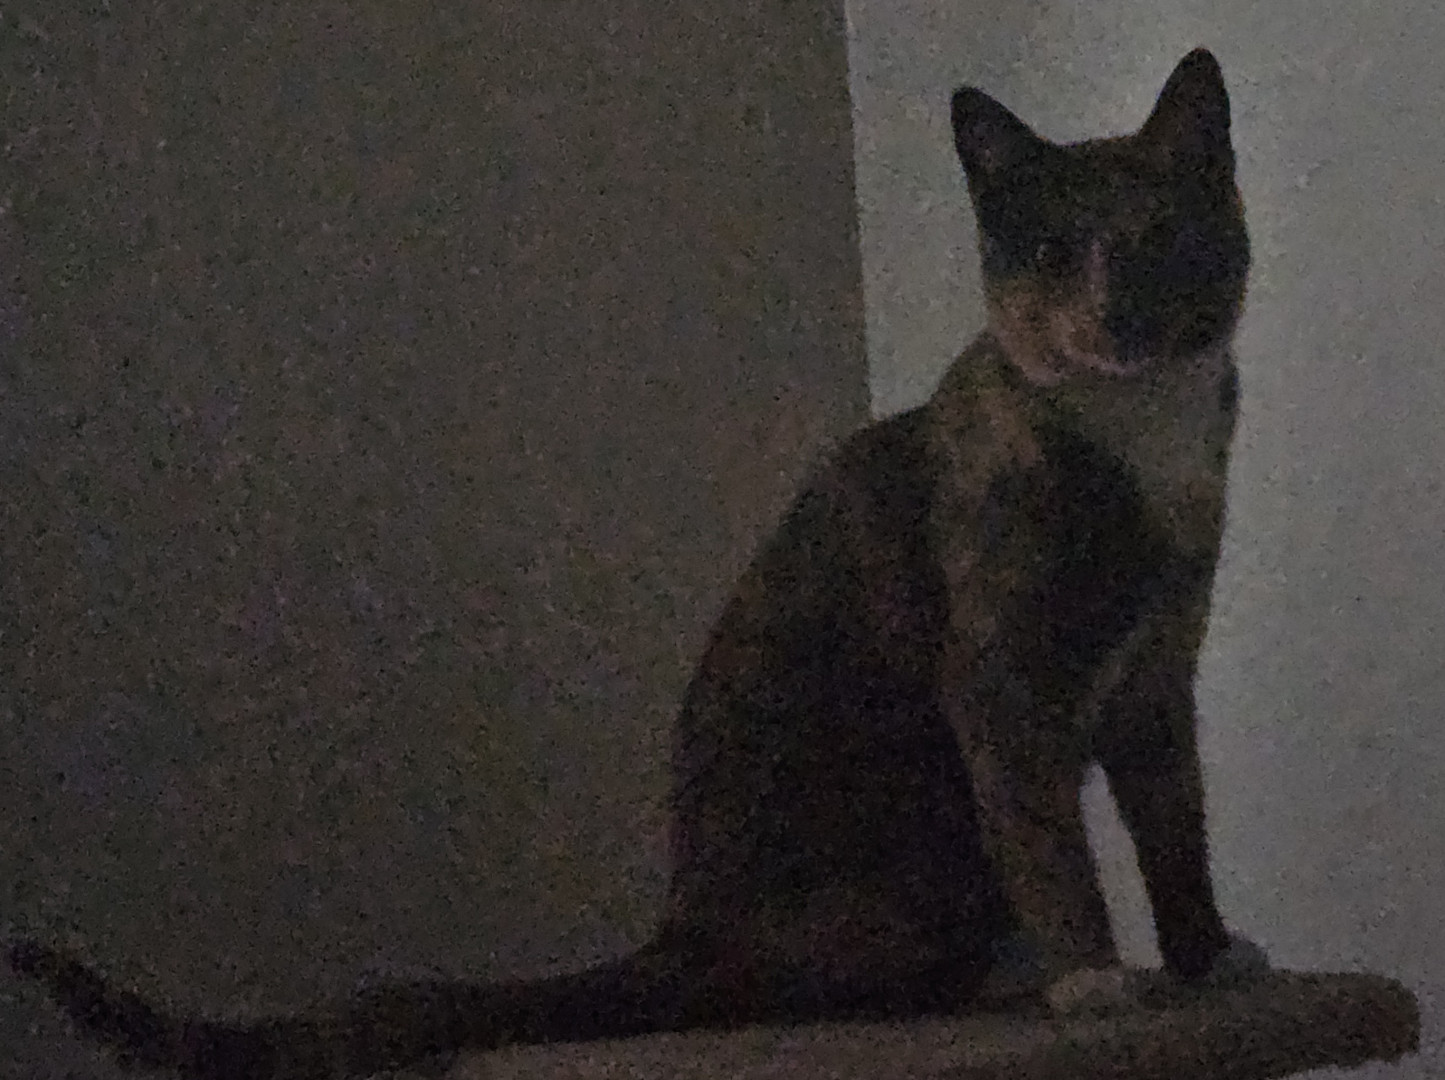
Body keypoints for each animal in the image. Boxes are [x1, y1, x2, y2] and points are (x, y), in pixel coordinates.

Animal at [8, 47, 1266, 1079]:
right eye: (1052, 250)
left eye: (1158, 239)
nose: (1111, 311)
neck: (1139, 440)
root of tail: (679, 933)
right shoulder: (997, 678)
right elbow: (1047, 836)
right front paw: (1093, 981)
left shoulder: (1158, 675)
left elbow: (1177, 828)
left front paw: (1205, 958)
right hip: (904, 830)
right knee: (815, 980)